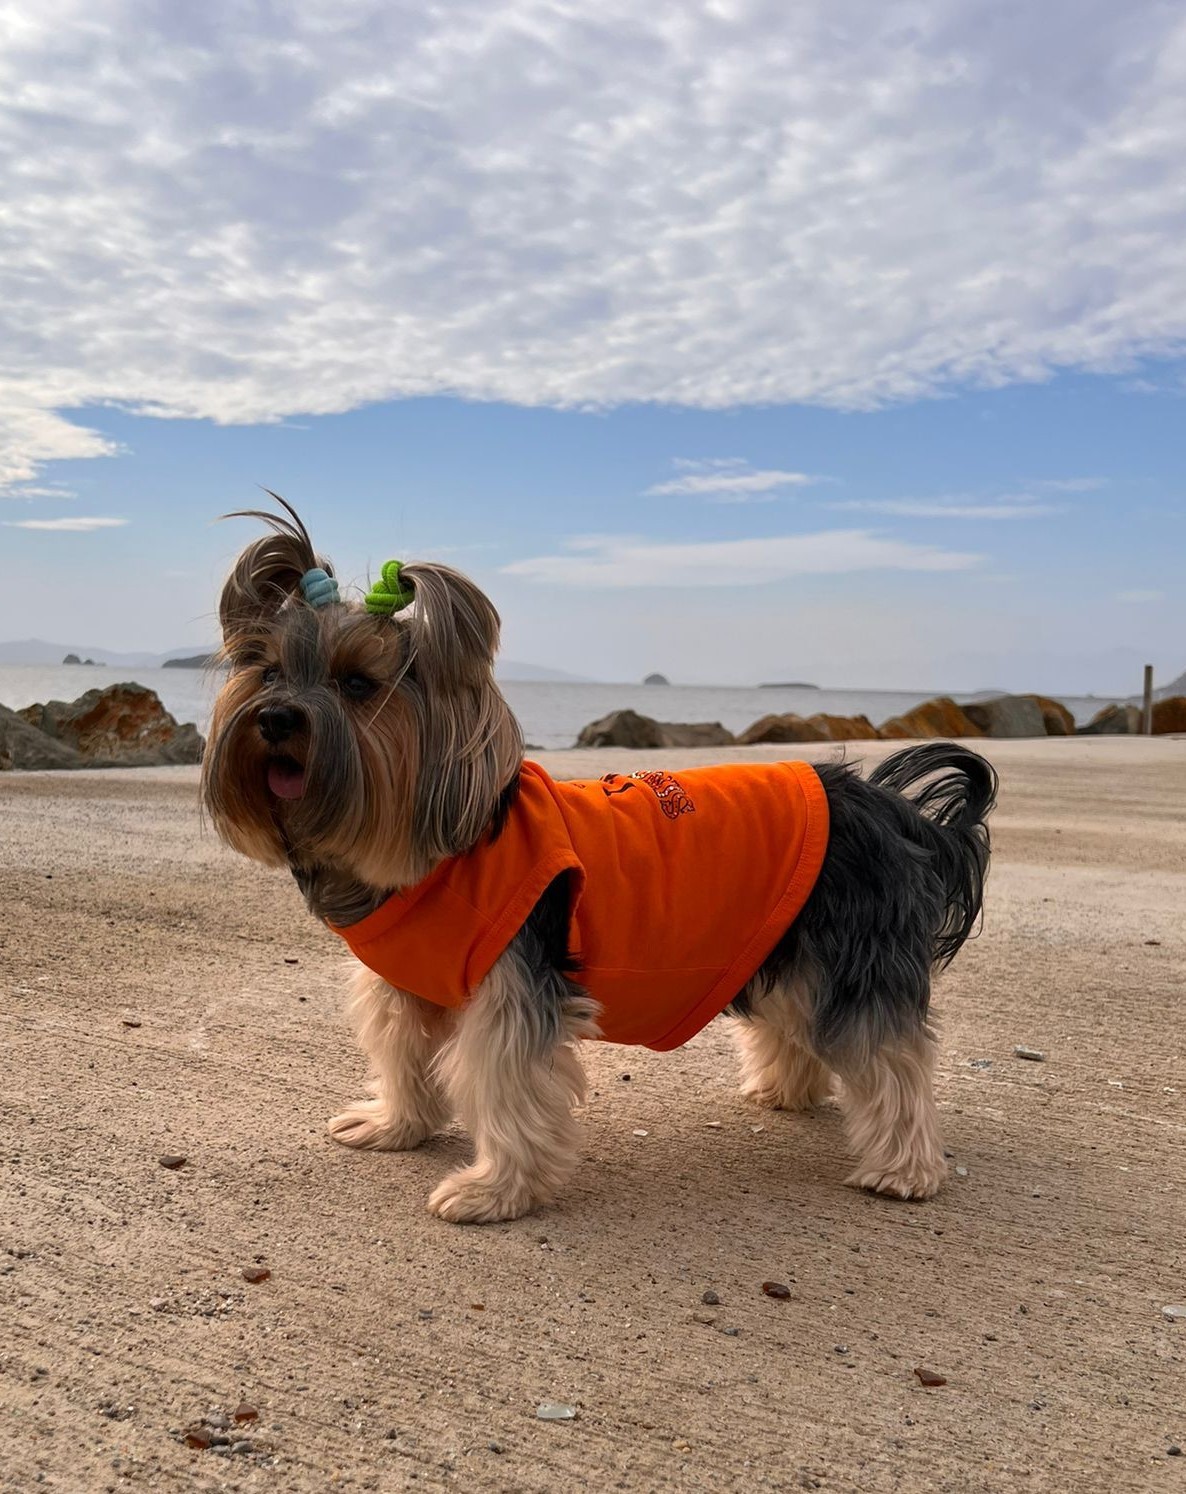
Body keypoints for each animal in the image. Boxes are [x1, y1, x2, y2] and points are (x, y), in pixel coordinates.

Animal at [201, 501, 991, 1225]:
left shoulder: (515, 984)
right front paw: (396, 1126)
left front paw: (494, 1191)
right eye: (267, 671)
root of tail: (895, 811)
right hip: (782, 937)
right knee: (795, 1015)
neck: (431, 856)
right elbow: (401, 1051)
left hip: (850, 950)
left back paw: (904, 1169)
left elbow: (505, 1083)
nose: (276, 718)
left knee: (891, 1055)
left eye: (359, 685)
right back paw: (785, 1091)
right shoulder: (407, 981)